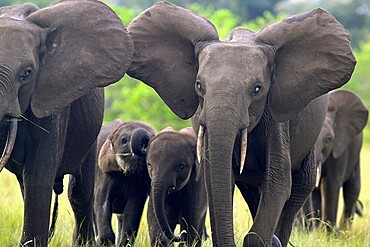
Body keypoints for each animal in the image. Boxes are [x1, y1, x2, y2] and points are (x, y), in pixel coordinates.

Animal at [126, 2, 356, 246]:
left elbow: (278, 182)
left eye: (257, 89)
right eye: (199, 86)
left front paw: (264, 240)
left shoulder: (275, 119)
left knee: (301, 185)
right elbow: (218, 180)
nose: (178, 236)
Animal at [310, 89, 368, 231]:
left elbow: (330, 185)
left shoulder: (340, 148)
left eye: (328, 139)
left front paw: (328, 233)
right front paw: (318, 233)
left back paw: (343, 231)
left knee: (352, 190)